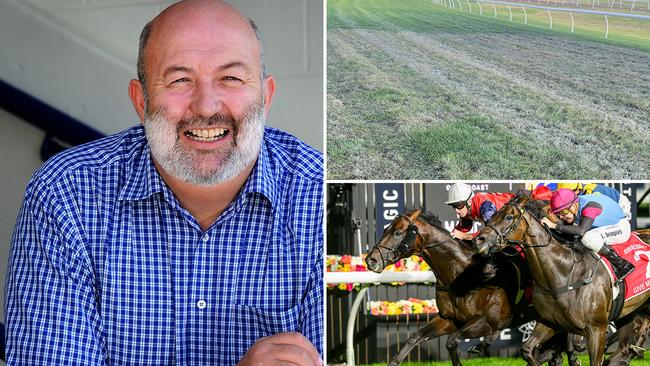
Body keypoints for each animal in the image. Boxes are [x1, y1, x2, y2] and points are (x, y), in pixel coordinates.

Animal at [364, 209, 572, 366]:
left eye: (398, 232)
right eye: (386, 229)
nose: (370, 260)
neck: (463, 275)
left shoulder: (487, 322)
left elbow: (451, 341)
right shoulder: (449, 320)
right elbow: (414, 337)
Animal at [470, 194, 648, 366]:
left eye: (508, 217)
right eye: (493, 215)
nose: (478, 240)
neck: (564, 273)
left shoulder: (596, 328)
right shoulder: (551, 323)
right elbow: (526, 350)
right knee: (625, 347)